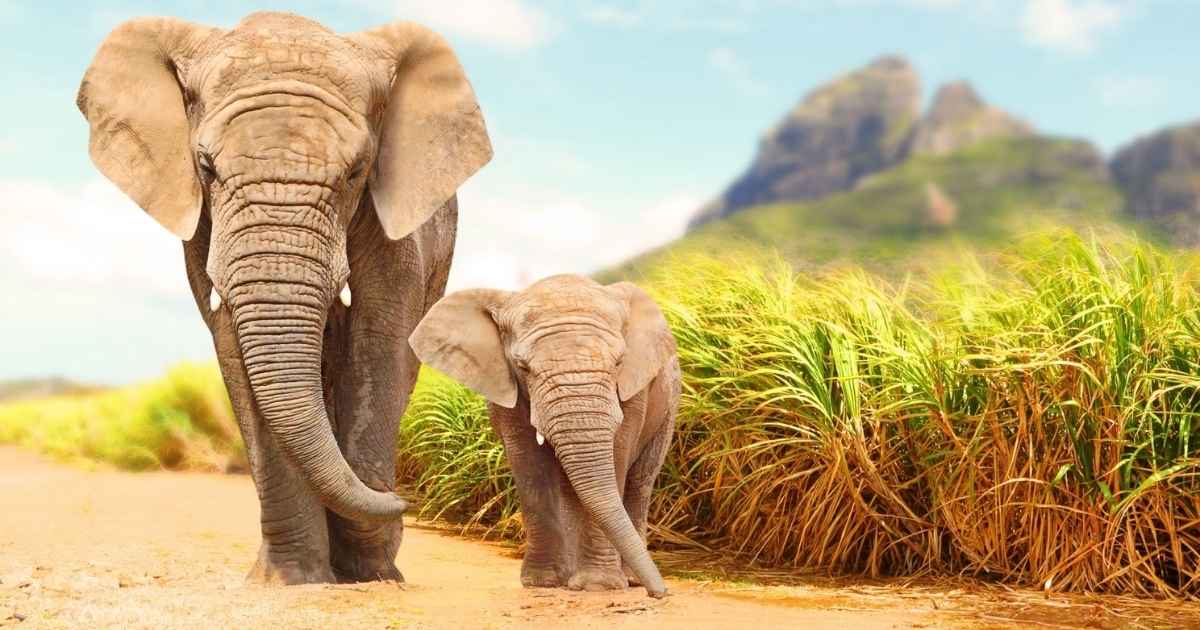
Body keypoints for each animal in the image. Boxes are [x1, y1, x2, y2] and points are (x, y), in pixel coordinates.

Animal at [76, 12, 492, 584]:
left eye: (357, 172)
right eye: (205, 167)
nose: (405, 500)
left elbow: (378, 340)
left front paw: (370, 572)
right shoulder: (203, 225)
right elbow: (233, 345)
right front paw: (292, 580)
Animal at [409, 274, 680, 598]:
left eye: (618, 363)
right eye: (523, 367)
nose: (661, 593)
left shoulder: (634, 390)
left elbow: (616, 458)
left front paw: (598, 586)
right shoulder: (506, 388)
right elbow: (530, 466)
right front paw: (542, 582)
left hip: (669, 406)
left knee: (640, 482)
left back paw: (628, 579)